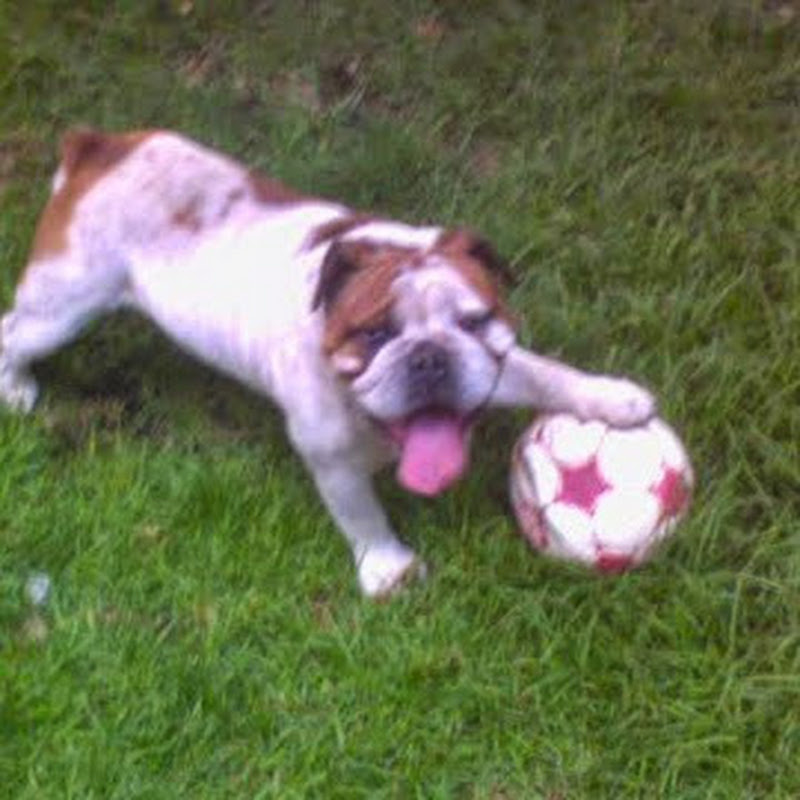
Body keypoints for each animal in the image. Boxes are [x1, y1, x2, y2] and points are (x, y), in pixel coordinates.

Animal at [0, 129, 655, 596]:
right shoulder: (332, 459)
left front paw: (615, 400)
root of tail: (100, 148)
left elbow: (547, 372)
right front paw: (389, 570)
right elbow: (362, 516)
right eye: (375, 334)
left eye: (473, 322)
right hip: (63, 306)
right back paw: (15, 390)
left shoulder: (495, 366)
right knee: (13, 334)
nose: (428, 358)